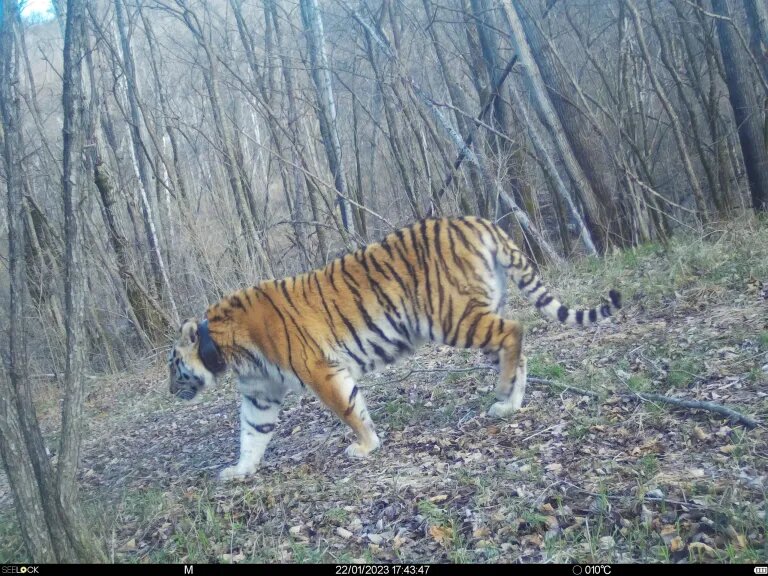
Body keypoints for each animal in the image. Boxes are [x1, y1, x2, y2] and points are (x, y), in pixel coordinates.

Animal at [170, 214, 624, 480]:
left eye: (173, 365)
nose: (171, 391)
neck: (226, 351)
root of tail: (475, 219)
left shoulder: (320, 369)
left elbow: (348, 409)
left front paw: (365, 446)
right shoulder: (260, 394)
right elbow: (253, 433)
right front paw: (239, 470)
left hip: (453, 317)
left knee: (516, 329)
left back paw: (502, 393)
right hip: (476, 315)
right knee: (517, 346)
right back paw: (509, 403)